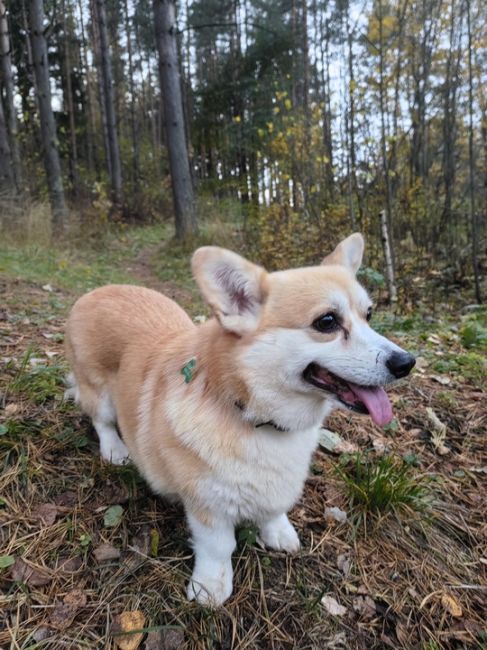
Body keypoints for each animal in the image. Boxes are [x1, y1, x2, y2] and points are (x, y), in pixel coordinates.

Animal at [65, 233, 416, 604]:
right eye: (327, 322)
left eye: (369, 314)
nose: (406, 363)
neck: (256, 416)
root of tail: (96, 291)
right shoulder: (207, 504)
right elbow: (218, 547)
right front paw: (211, 586)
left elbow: (274, 509)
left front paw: (277, 531)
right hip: (98, 392)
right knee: (101, 420)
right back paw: (115, 449)